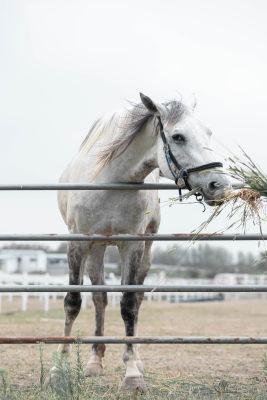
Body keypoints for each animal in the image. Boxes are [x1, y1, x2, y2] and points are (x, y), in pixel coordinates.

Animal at [55, 93, 230, 390]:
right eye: (178, 136)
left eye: (208, 132)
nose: (220, 186)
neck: (110, 179)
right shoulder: (78, 243)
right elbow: (73, 302)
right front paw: (59, 367)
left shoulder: (132, 245)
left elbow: (127, 306)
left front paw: (132, 374)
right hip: (96, 251)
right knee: (99, 299)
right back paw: (94, 361)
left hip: (144, 252)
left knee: (135, 300)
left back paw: (135, 358)